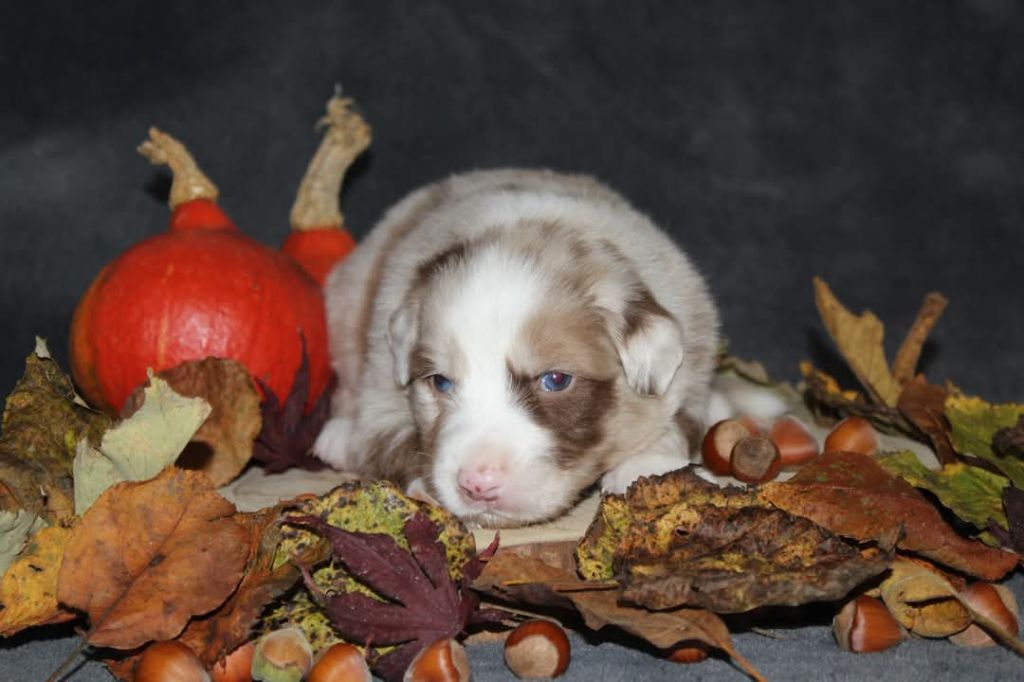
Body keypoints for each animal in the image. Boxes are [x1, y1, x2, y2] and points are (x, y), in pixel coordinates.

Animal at [313, 169, 720, 527]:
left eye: (556, 380)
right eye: (440, 382)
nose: (478, 485)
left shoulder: (691, 357)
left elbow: (680, 422)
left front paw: (643, 466)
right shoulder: (381, 380)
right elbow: (391, 437)